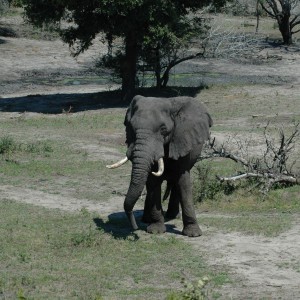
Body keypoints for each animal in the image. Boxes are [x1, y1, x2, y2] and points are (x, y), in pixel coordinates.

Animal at [106, 95, 212, 237]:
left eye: (163, 130)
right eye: (131, 128)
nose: (134, 227)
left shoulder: (181, 140)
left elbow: (183, 181)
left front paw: (193, 234)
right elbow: (153, 182)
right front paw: (156, 230)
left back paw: (173, 216)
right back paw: (147, 219)